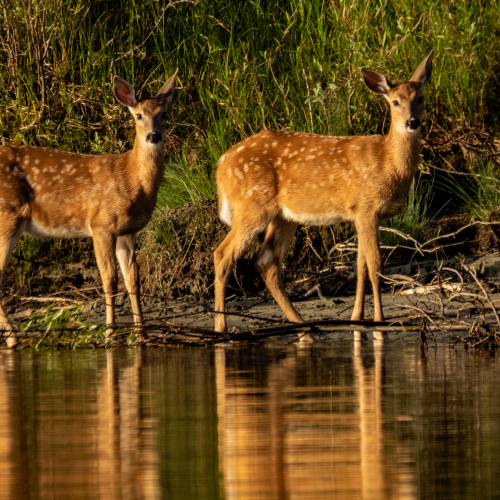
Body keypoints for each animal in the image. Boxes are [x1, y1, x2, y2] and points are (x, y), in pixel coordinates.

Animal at [0, 70, 179, 346]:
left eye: (164, 114)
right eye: (139, 115)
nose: (153, 136)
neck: (130, 178)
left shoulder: (127, 232)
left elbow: (133, 281)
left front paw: (142, 335)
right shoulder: (101, 223)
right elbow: (109, 280)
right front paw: (109, 334)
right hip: (7, 215)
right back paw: (13, 339)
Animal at [215, 49, 434, 340]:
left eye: (420, 97)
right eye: (395, 101)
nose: (412, 122)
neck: (387, 162)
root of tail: (221, 165)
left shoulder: (359, 212)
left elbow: (361, 267)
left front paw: (357, 323)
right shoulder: (367, 206)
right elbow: (376, 266)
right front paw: (380, 328)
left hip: (284, 216)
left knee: (266, 262)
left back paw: (304, 330)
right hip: (252, 205)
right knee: (223, 255)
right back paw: (221, 328)